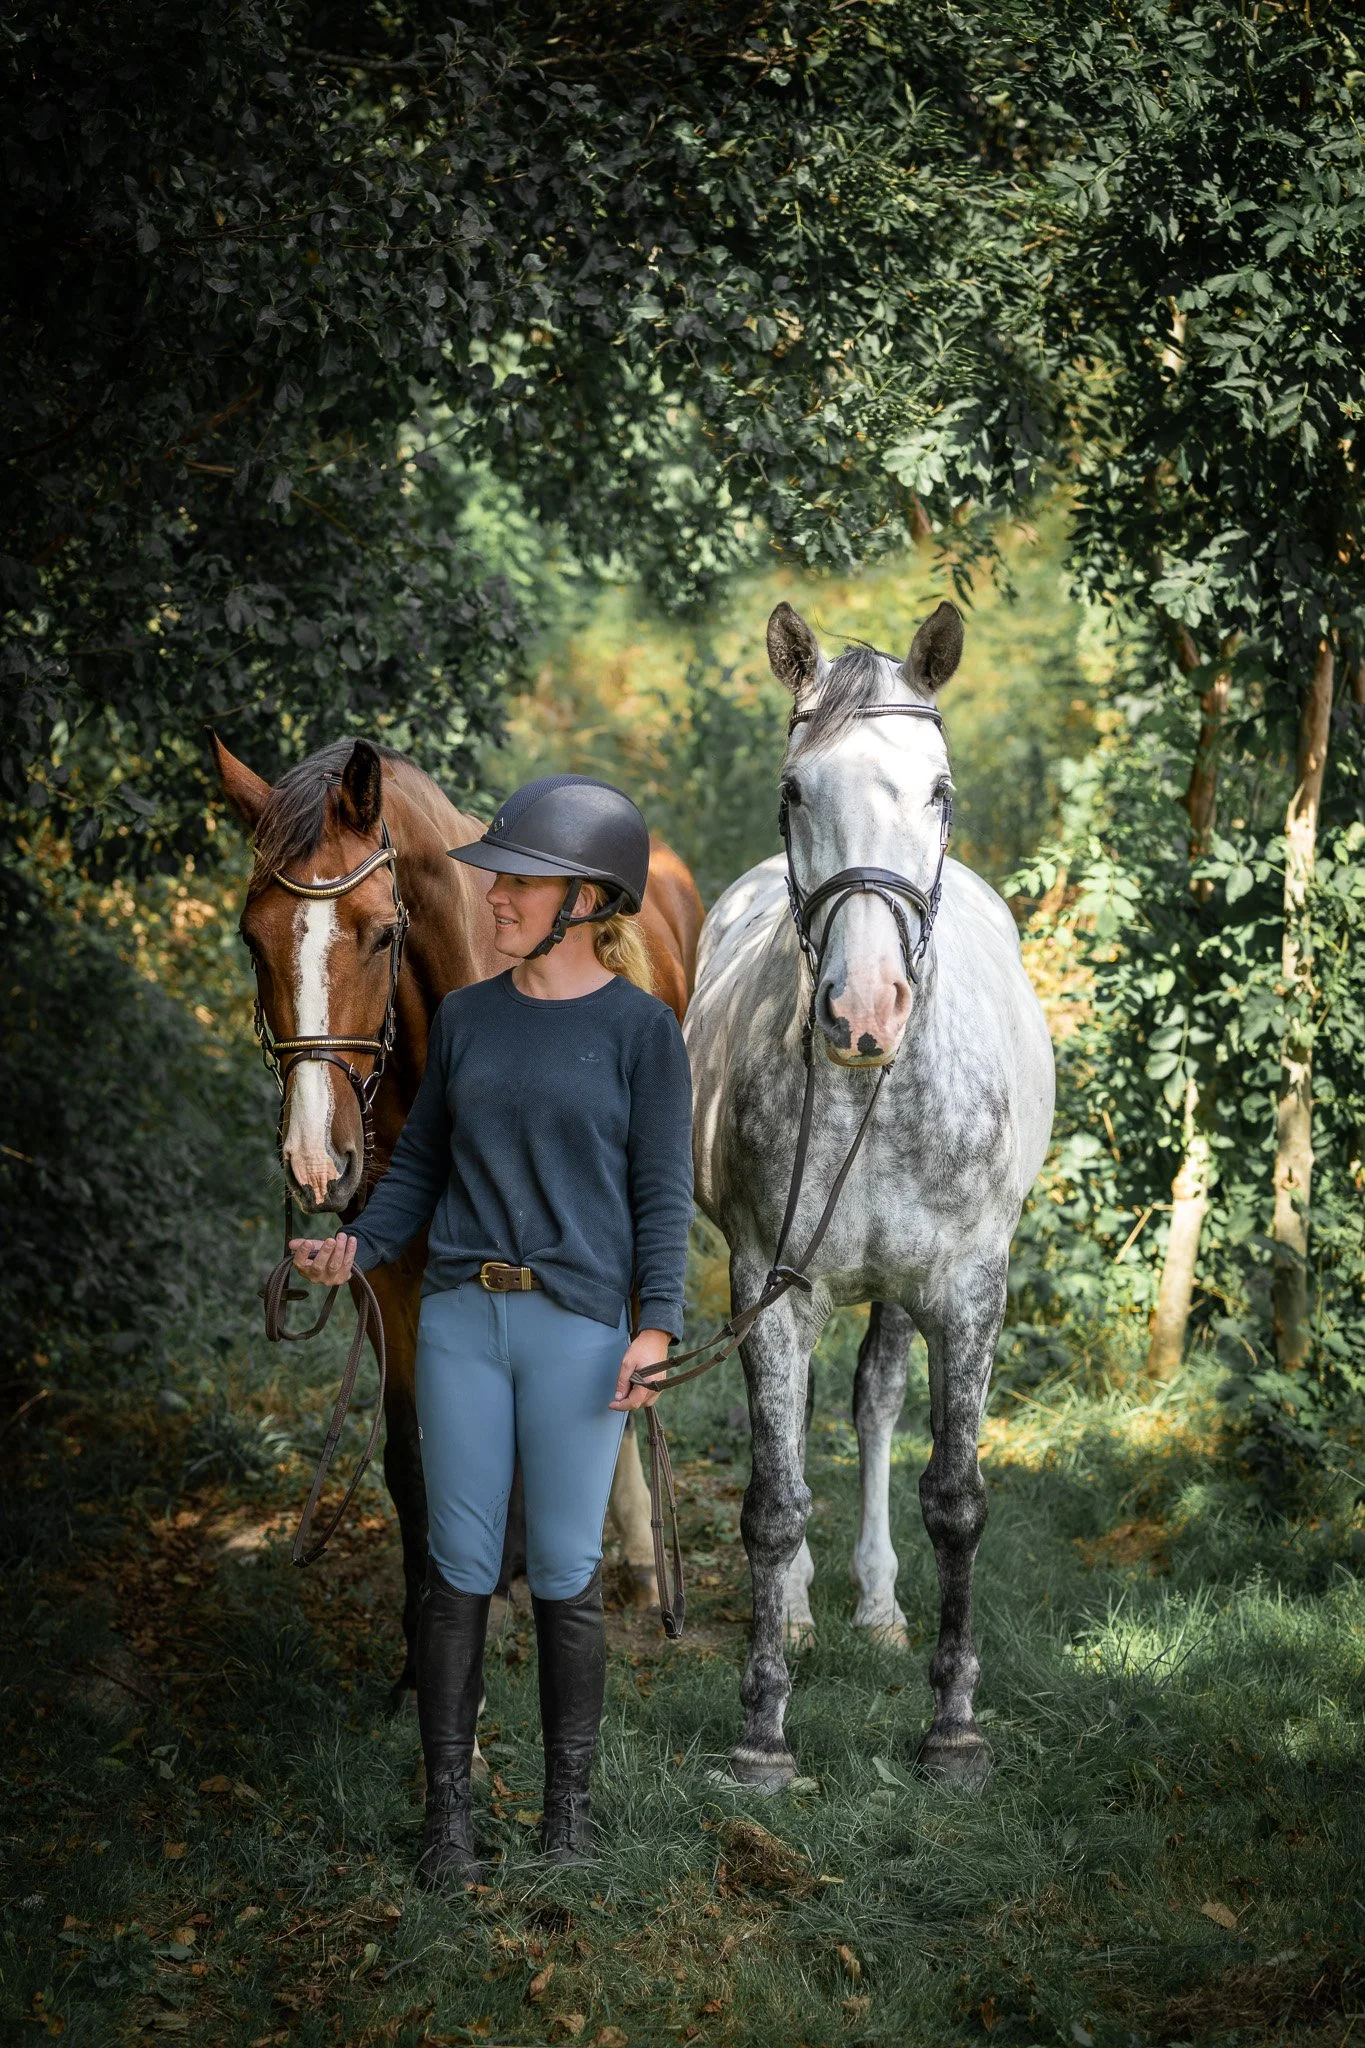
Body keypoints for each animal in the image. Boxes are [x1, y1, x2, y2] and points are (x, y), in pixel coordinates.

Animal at [684, 600, 1055, 1789]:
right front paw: (763, 1730)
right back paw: (806, 1610)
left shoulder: (969, 1291)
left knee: (879, 1401)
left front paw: (953, 1725)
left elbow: (957, 1498)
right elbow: (771, 1503)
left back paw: (882, 1606)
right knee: (806, 1423)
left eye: (939, 789)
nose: (864, 1013)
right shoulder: (769, 1284)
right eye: (795, 788)